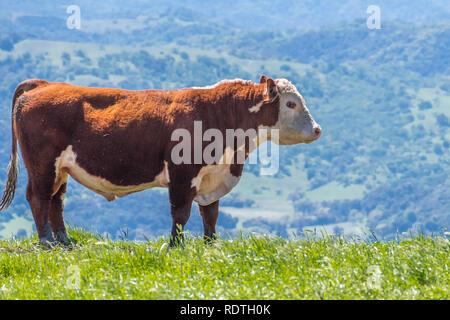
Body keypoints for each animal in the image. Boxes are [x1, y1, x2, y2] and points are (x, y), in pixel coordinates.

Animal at [1, 76, 322, 246]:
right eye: (291, 103)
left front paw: (211, 244)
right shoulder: (182, 174)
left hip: (62, 169)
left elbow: (210, 214)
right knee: (39, 198)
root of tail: (44, 84)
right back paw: (47, 243)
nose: (317, 129)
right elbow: (181, 214)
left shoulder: (212, 177)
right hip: (43, 165)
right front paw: (175, 246)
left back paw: (66, 242)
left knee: (56, 201)